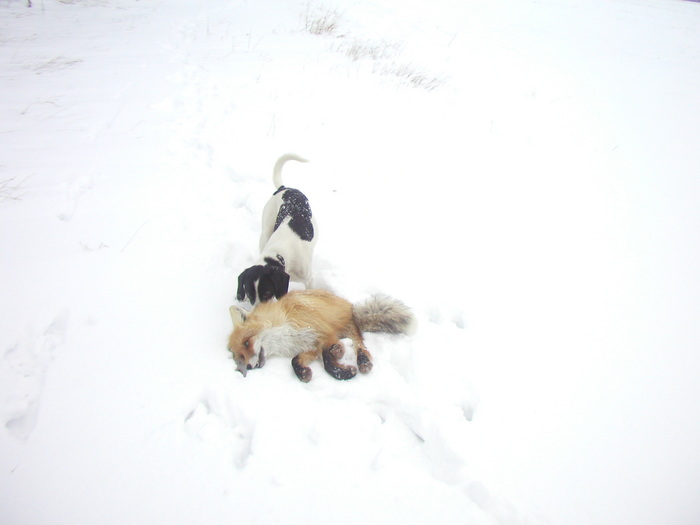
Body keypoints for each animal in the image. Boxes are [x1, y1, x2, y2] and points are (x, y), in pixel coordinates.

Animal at [228, 289, 416, 382]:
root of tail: (350, 307)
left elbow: (327, 361)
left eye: (247, 342)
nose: (249, 367)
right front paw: (304, 373)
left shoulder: (323, 332)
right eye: (239, 356)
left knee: (359, 343)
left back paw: (363, 361)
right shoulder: (308, 346)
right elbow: (295, 360)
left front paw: (342, 369)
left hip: (346, 327)